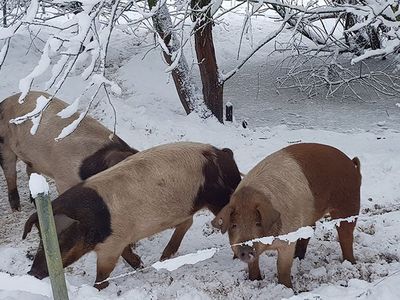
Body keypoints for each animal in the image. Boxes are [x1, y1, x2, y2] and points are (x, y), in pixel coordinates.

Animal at [0, 89, 139, 211]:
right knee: (10, 173)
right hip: (4, 144)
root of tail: (4, 101)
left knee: (30, 171)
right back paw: (16, 208)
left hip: (33, 159)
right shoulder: (64, 179)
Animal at [21, 142, 241, 290]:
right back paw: (164, 256)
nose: (32, 273)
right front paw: (140, 265)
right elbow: (126, 253)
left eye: (64, 241)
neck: (94, 222)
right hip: (185, 208)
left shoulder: (112, 245)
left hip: (222, 196)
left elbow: (104, 272)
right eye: (40, 238)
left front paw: (98, 289)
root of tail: (223, 153)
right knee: (187, 222)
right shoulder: (121, 238)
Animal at [212, 143, 362, 288]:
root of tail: (351, 164)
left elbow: (282, 266)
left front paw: (287, 288)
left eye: (258, 223)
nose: (245, 248)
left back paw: (350, 262)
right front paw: (254, 280)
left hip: (349, 203)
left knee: (346, 235)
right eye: (234, 225)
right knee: (310, 230)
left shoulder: (288, 239)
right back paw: (298, 257)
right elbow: (253, 264)